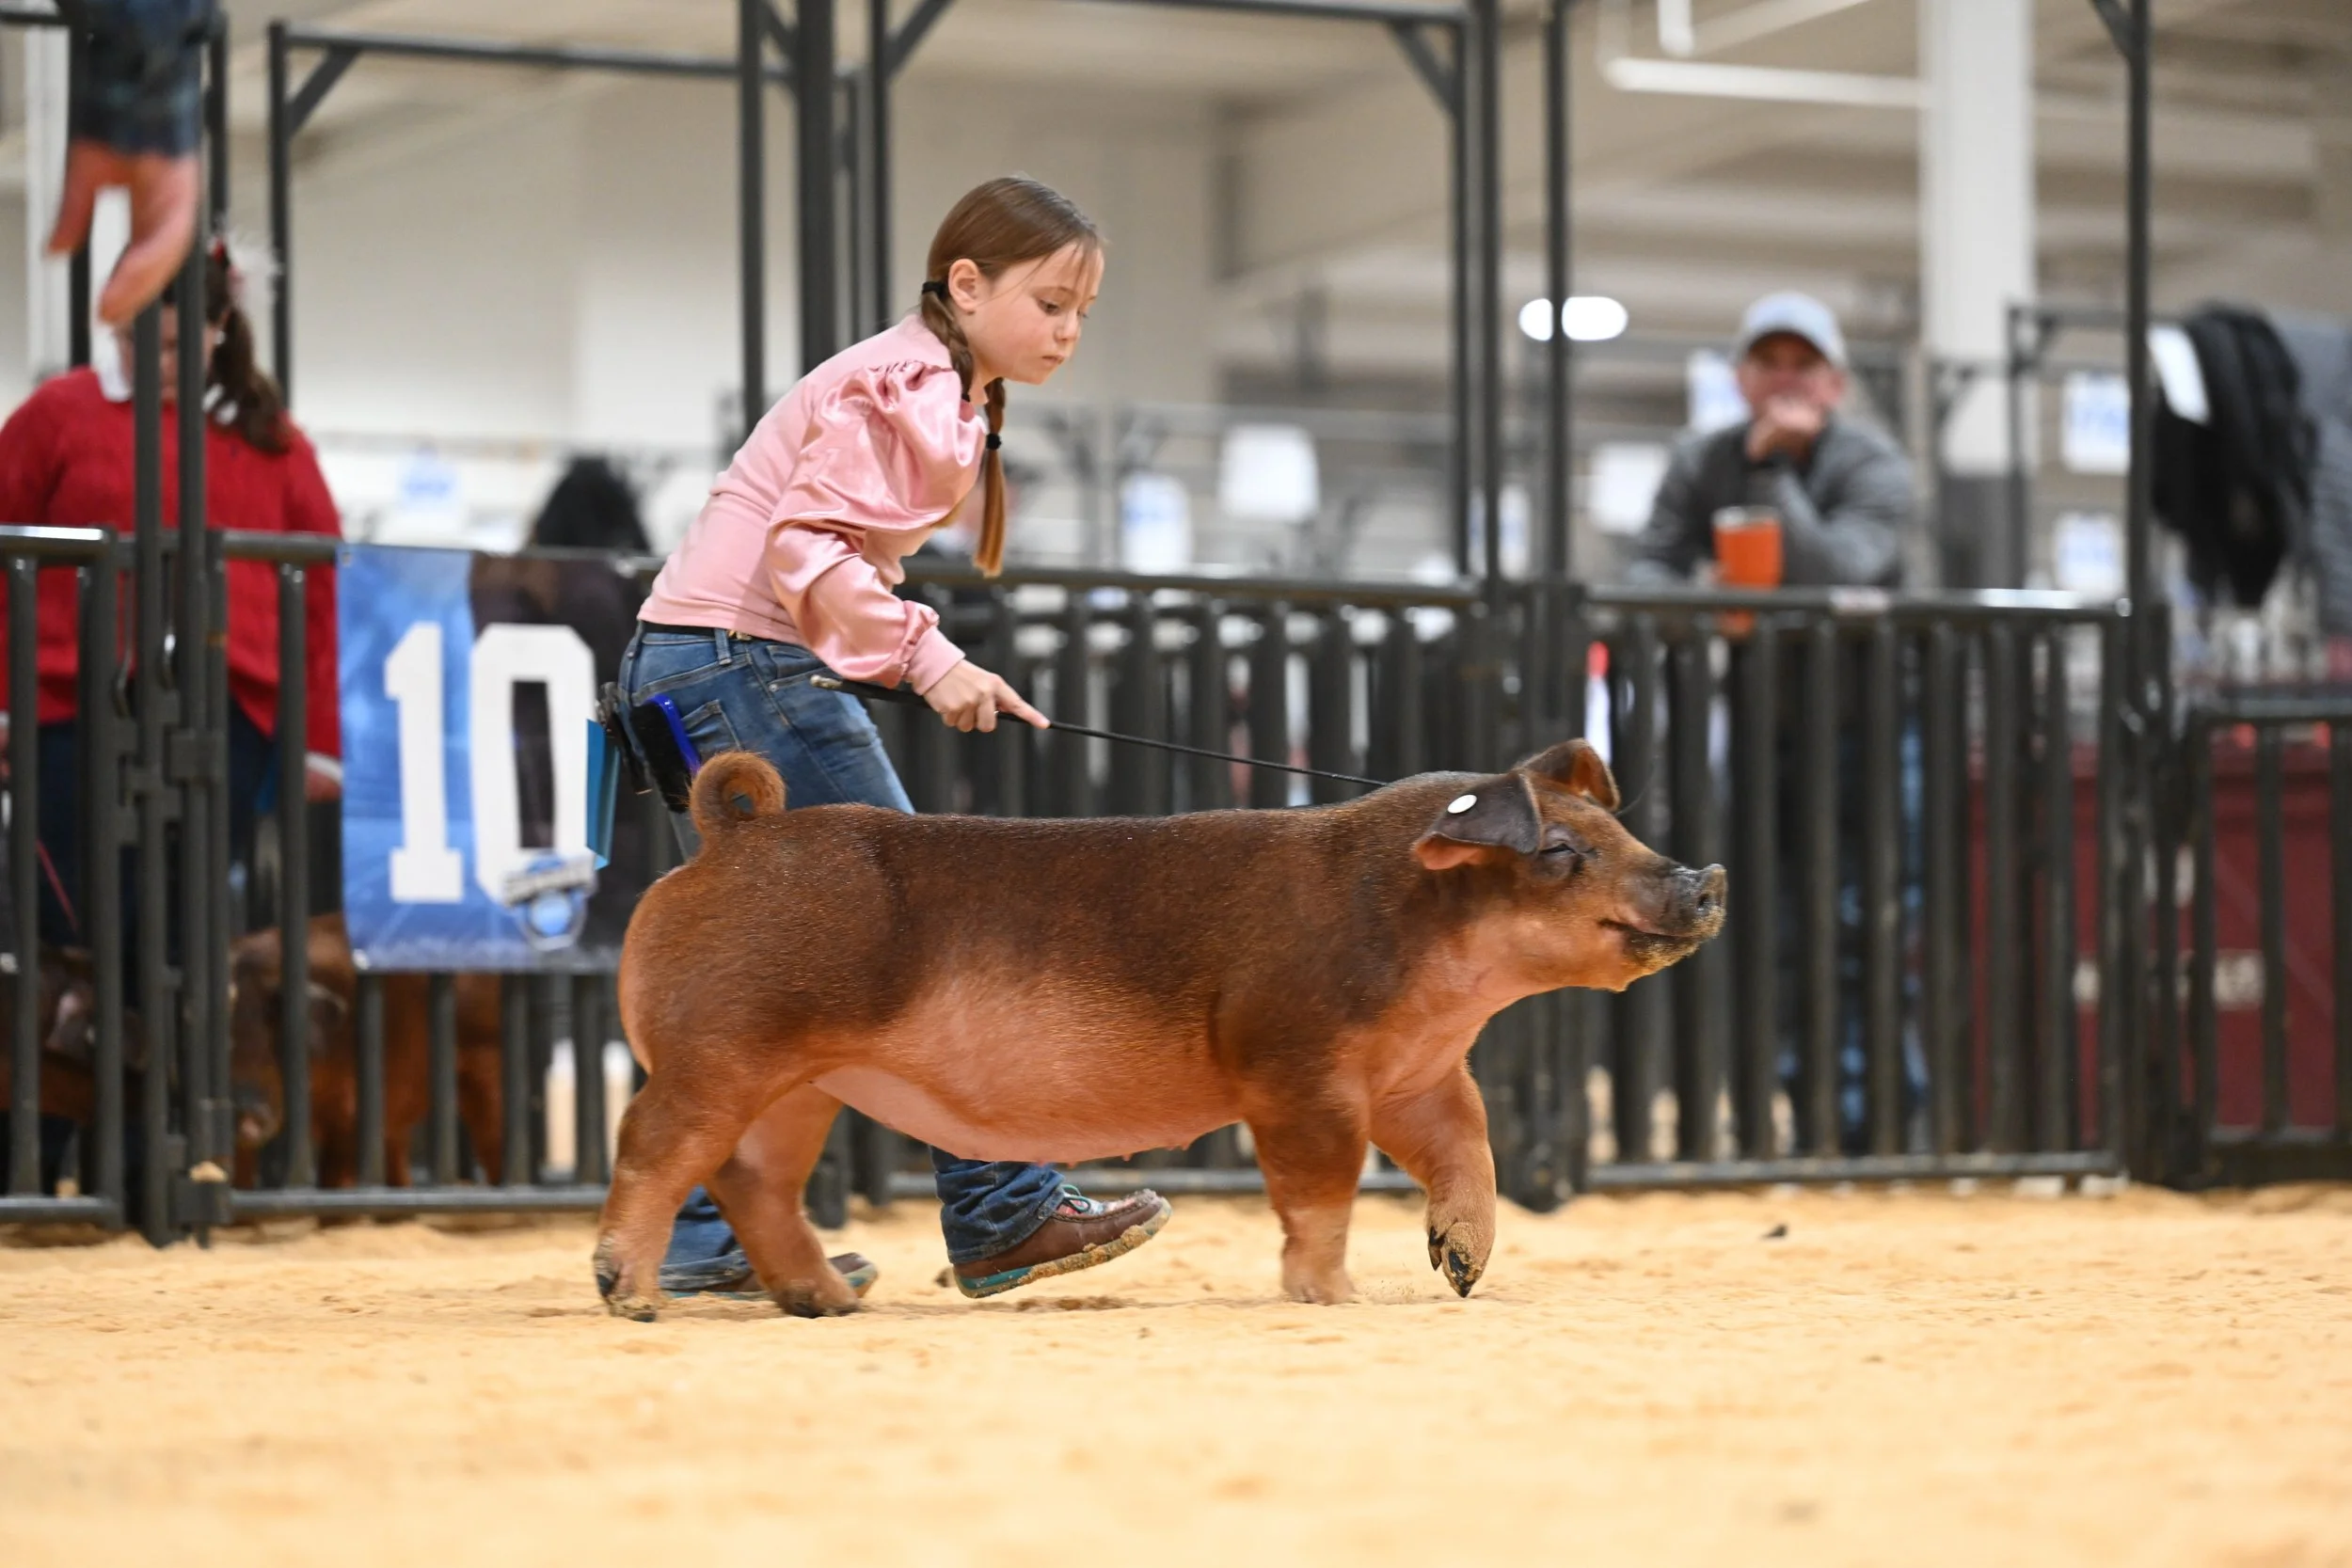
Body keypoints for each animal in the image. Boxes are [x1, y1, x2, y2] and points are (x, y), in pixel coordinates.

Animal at [595, 738, 1724, 1320]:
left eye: (1622, 828)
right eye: (1562, 852)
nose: (1705, 876)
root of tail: (735, 835)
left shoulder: (1424, 1078)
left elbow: (1470, 1148)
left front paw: (1463, 1269)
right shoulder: (1294, 1064)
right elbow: (1321, 1186)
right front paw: (1333, 1296)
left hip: (800, 1085)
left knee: (753, 1179)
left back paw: (830, 1300)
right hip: (721, 1047)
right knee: (652, 1146)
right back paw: (632, 1297)